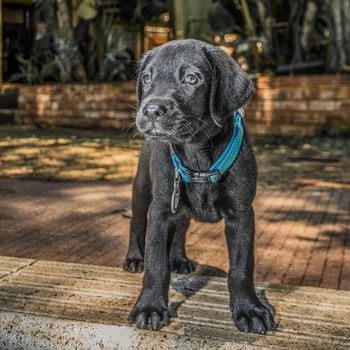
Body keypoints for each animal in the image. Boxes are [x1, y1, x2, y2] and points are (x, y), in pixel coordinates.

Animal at [121, 39, 274, 334]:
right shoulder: (161, 209)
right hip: (143, 188)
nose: (151, 110)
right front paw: (150, 307)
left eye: (191, 79)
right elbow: (156, 262)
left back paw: (179, 258)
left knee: (181, 226)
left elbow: (242, 266)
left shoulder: (241, 214)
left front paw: (249, 309)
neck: (197, 153)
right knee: (136, 222)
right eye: (146, 78)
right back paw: (134, 258)